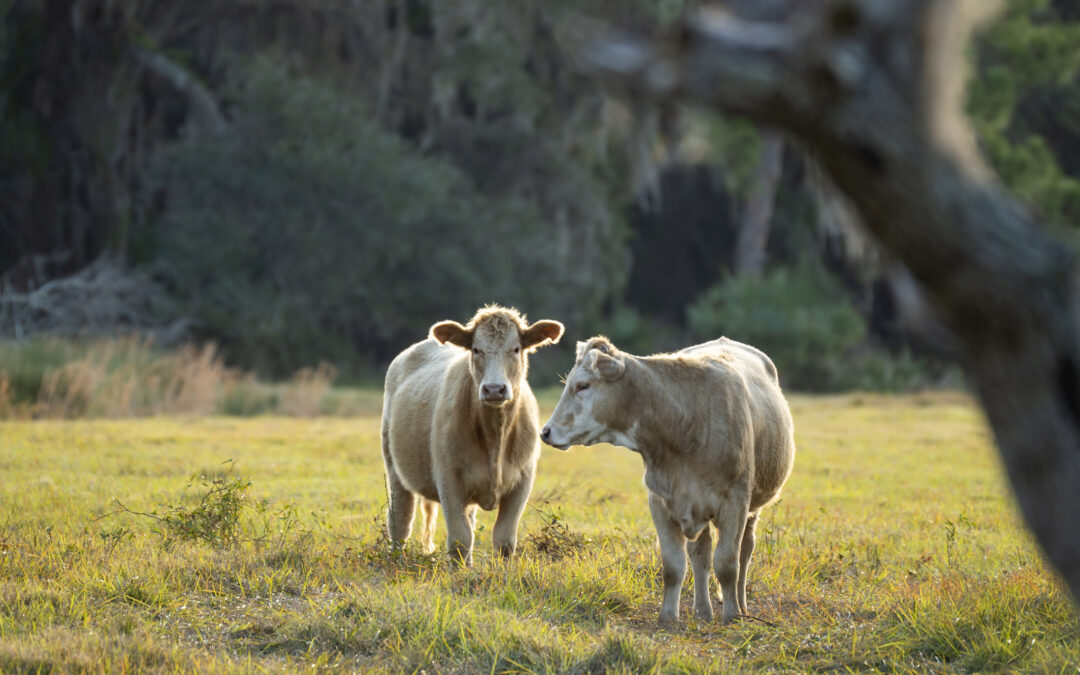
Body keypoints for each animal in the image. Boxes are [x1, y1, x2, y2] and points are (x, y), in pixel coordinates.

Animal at [380, 304, 565, 561]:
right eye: (476, 349)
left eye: (516, 349)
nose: (494, 389)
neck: (495, 437)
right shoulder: (448, 479)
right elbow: (460, 539)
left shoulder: (522, 479)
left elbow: (504, 539)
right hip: (394, 468)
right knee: (400, 519)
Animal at [540, 334, 794, 622]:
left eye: (582, 385)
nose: (546, 431)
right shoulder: (660, 503)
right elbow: (674, 565)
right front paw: (668, 617)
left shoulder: (735, 503)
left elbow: (728, 563)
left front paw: (731, 615)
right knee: (701, 553)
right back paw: (702, 611)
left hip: (752, 508)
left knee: (745, 550)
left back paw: (740, 604)